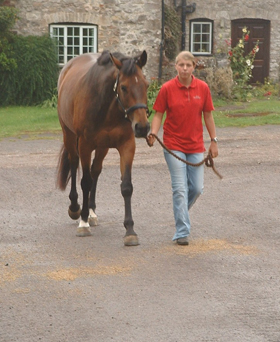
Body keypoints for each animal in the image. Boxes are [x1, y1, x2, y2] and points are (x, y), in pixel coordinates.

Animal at [55, 50, 150, 246]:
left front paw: (130, 230)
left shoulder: (127, 146)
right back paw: (76, 208)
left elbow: (126, 186)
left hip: (102, 147)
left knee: (95, 171)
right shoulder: (84, 145)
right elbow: (85, 181)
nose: (142, 127)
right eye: (123, 87)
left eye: (146, 85)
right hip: (69, 136)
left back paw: (91, 211)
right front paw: (83, 223)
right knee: (75, 165)